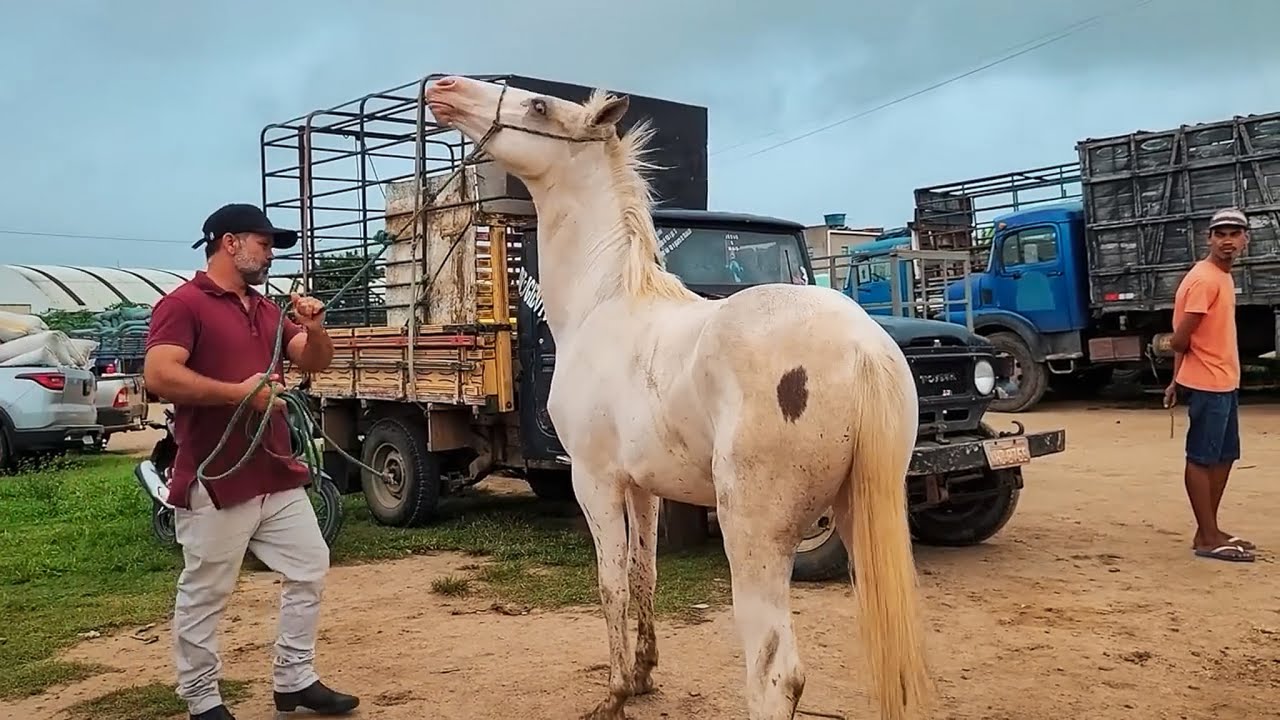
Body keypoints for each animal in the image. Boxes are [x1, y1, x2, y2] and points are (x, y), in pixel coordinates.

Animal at [425, 75, 932, 720]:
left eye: (538, 105)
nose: (443, 87)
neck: (605, 301)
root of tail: (863, 346)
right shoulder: (643, 488)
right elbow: (645, 574)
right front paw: (643, 674)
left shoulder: (593, 479)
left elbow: (611, 581)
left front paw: (615, 693)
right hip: (859, 514)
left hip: (754, 534)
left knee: (775, 674)